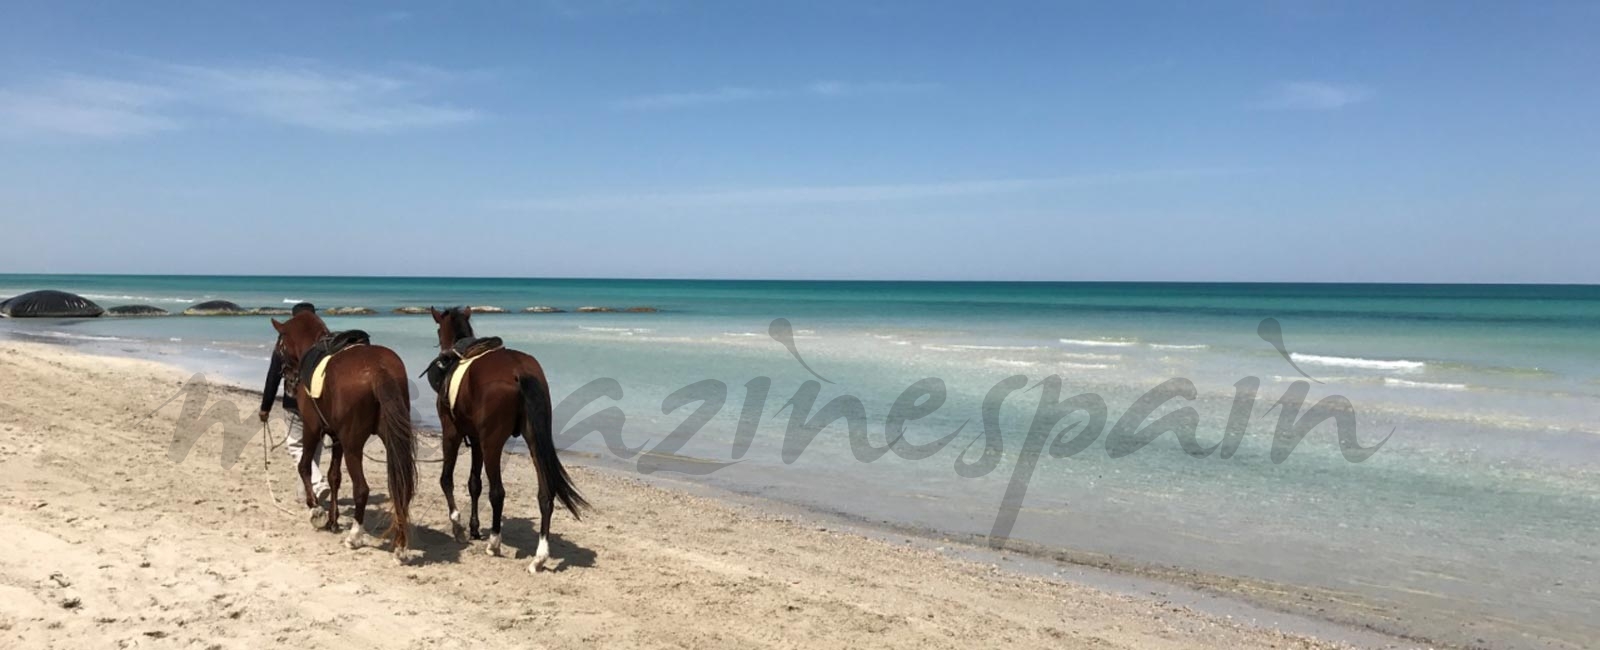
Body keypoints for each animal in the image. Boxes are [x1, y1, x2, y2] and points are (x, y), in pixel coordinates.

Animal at [270, 307, 416, 560]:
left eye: (280, 346)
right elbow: (334, 477)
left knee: (362, 489)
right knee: (400, 487)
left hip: (352, 445)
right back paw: (400, 545)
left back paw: (355, 536)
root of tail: (378, 368)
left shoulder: (312, 428)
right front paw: (332, 519)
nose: (288, 383)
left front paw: (316, 509)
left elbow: (304, 466)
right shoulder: (336, 437)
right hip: (391, 439)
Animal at [432, 307, 588, 569]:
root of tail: (519, 370)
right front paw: (474, 528)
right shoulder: (476, 439)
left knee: (498, 492)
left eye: (437, 330)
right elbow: (474, 484)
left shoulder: (452, 432)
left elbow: (447, 480)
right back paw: (539, 556)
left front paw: (458, 526)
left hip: (493, 443)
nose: (442, 354)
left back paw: (494, 543)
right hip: (533, 440)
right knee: (545, 495)